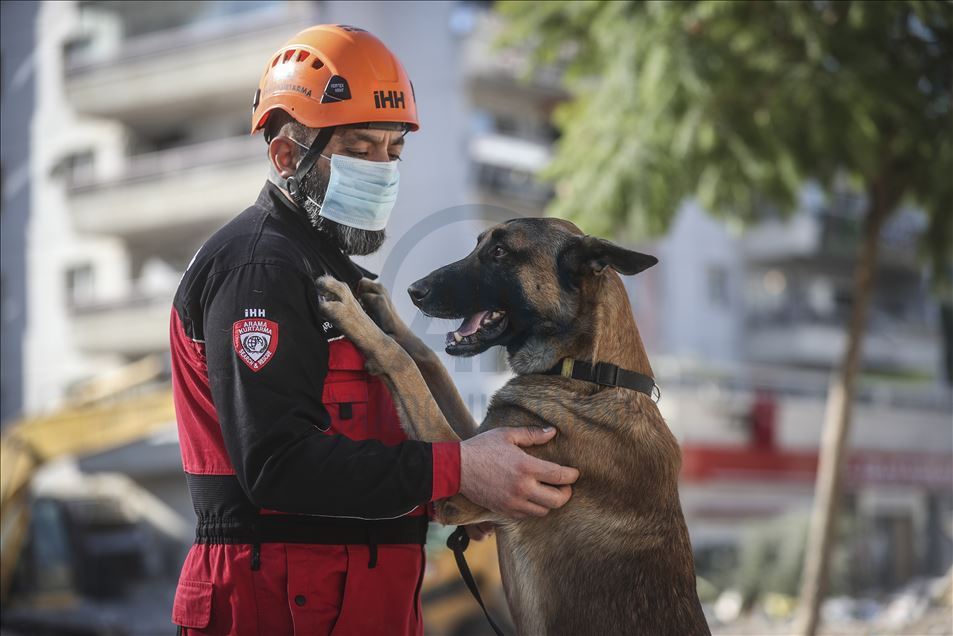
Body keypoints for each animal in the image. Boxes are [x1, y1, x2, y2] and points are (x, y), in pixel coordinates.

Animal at [316, 219, 712, 636]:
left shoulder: (460, 492)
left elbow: (404, 364)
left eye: (501, 253)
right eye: (478, 246)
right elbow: (427, 361)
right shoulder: (477, 446)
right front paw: (381, 309)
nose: (414, 290)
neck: (589, 375)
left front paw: (354, 314)